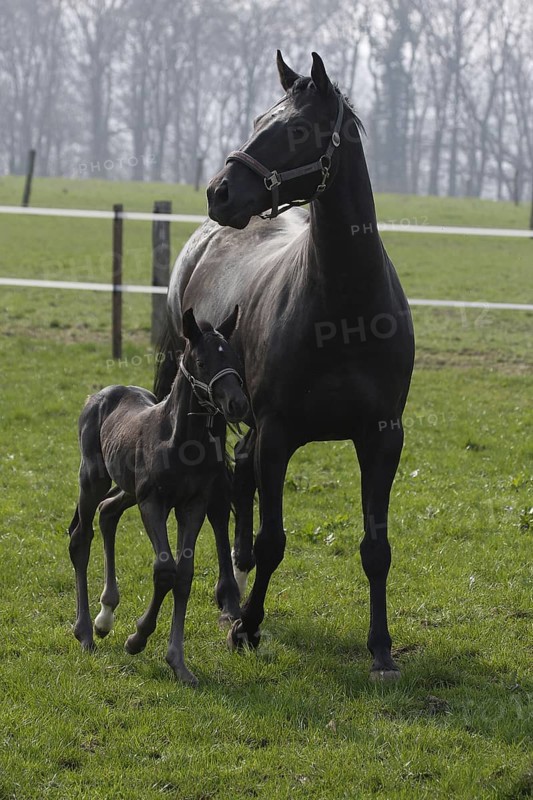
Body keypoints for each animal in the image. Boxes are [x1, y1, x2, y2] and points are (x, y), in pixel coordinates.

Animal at [68, 307, 249, 685]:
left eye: (234, 358)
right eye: (200, 361)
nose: (237, 404)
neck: (182, 440)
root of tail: (100, 395)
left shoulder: (192, 505)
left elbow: (184, 574)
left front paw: (178, 662)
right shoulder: (154, 502)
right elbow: (165, 570)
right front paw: (137, 639)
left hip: (128, 488)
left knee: (108, 512)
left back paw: (105, 616)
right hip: (93, 478)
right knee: (81, 536)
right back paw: (86, 632)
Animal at [154, 52, 415, 680]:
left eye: (296, 130)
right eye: (257, 121)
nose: (220, 191)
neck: (345, 313)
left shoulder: (382, 436)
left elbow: (376, 547)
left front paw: (381, 650)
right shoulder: (277, 434)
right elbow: (273, 540)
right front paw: (247, 626)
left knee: (235, 482)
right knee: (220, 494)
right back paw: (229, 599)